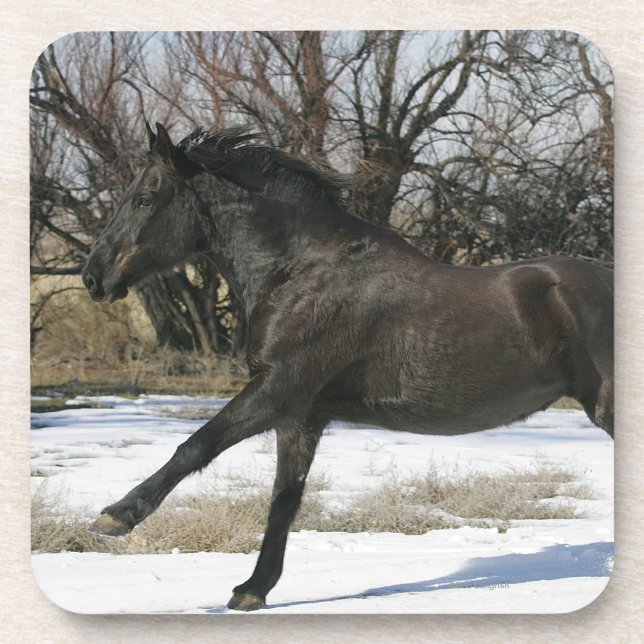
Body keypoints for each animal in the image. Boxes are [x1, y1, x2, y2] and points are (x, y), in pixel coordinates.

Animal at [81, 122, 614, 611]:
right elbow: (284, 500)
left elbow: (195, 446)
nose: (93, 277)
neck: (301, 272)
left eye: (145, 199)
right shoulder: (301, 418)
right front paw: (252, 590)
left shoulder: (279, 389)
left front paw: (115, 517)